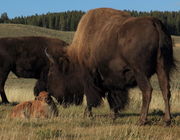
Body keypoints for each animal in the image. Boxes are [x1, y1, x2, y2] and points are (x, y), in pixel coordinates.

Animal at [45, 7, 176, 125]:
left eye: (52, 73)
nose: (51, 93)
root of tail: (155, 23)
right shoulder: (112, 80)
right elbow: (113, 98)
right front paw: (113, 115)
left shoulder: (90, 78)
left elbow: (91, 98)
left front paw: (87, 114)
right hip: (162, 67)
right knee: (165, 90)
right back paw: (167, 120)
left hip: (140, 72)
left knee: (147, 90)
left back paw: (141, 120)